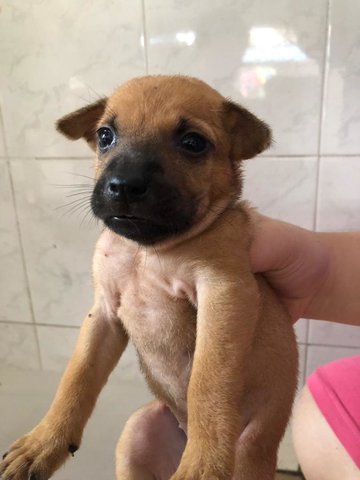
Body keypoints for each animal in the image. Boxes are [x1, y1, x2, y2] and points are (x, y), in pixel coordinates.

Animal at [0, 76, 298, 480]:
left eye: (193, 142)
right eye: (105, 135)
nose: (123, 185)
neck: (145, 252)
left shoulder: (224, 296)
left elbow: (208, 382)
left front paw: (202, 465)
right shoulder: (104, 314)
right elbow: (76, 378)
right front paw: (43, 444)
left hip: (250, 451)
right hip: (135, 436)